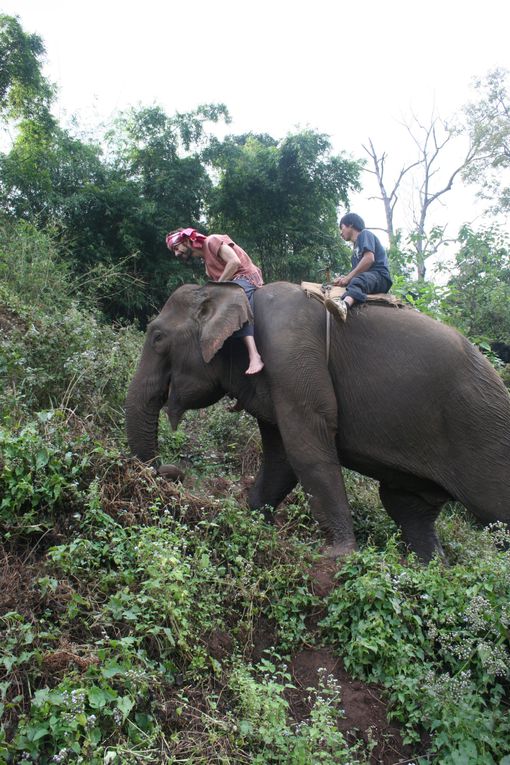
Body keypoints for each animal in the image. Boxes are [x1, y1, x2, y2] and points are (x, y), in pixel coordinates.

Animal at [124, 280, 510, 560]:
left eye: (157, 337)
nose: (173, 471)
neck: (237, 294)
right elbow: (281, 458)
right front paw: (253, 523)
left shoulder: (291, 354)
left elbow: (307, 447)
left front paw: (337, 556)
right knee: (406, 507)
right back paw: (430, 570)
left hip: (483, 431)